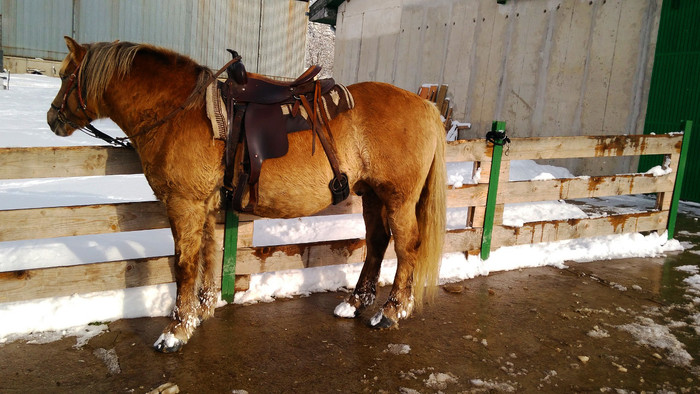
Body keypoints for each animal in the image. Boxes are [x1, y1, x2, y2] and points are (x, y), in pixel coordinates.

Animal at [45, 36, 448, 350]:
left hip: (398, 199)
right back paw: (355, 303)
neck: (180, 111)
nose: (52, 119)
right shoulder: (204, 205)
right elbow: (207, 255)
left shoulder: (184, 204)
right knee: (378, 242)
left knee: (407, 247)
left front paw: (175, 331)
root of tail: (426, 104)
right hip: (372, 195)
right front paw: (202, 311)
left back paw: (391, 311)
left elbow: (184, 264)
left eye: (66, 76)